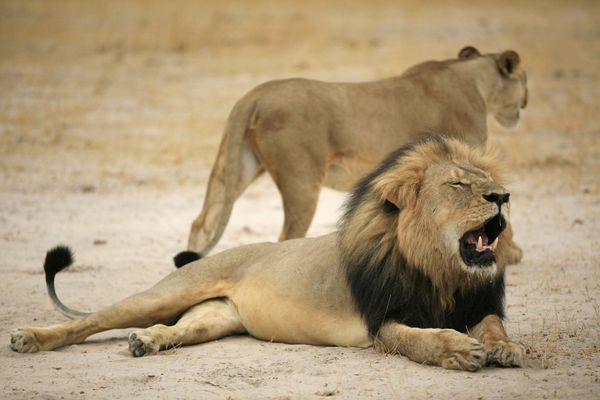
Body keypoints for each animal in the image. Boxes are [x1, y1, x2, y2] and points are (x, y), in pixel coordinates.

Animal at [10, 136, 524, 370]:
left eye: (486, 181)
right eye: (458, 185)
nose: (503, 196)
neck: (441, 271)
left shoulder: (477, 303)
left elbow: (493, 325)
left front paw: (506, 348)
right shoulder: (383, 321)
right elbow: (419, 339)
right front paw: (457, 350)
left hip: (214, 317)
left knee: (176, 328)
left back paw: (147, 342)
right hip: (166, 293)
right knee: (89, 322)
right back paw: (29, 338)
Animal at [182, 46, 524, 262]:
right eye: (525, 81)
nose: (525, 103)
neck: (475, 80)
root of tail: (254, 95)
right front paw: (510, 252)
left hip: (239, 166)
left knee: (203, 222)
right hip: (301, 180)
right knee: (286, 236)